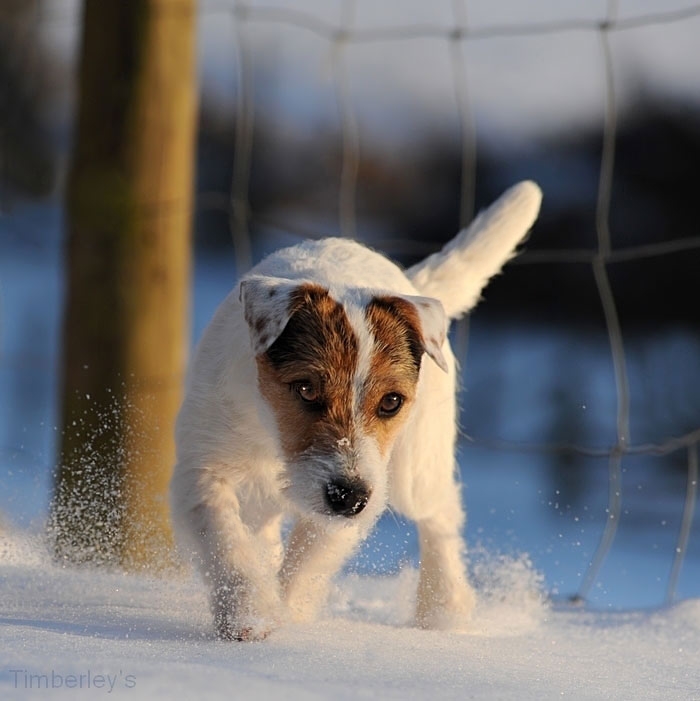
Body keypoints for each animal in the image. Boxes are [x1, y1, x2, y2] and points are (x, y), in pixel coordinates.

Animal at [170, 180, 540, 640]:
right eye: (306, 389)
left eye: (391, 401)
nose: (347, 496)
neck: (271, 435)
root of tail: (408, 282)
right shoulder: (203, 469)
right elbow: (225, 538)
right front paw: (250, 612)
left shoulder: (361, 494)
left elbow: (308, 560)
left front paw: (285, 611)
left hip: (414, 468)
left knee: (440, 514)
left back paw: (444, 610)